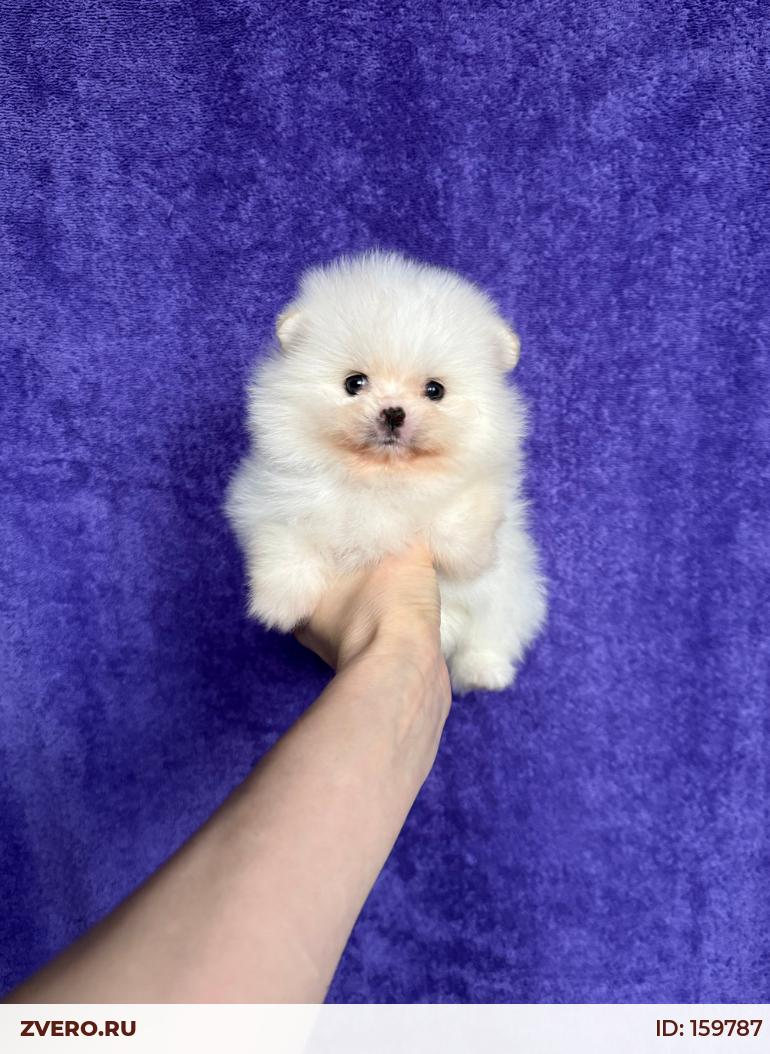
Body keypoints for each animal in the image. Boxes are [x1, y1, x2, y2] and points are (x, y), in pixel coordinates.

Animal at [225, 250, 546, 692]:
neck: (381, 477)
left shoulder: (484, 494)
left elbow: (463, 511)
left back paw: (485, 671)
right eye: (354, 383)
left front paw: (466, 555)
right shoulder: (266, 496)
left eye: (435, 390)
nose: (393, 412)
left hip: (514, 590)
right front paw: (279, 604)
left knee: (494, 632)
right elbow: (283, 540)